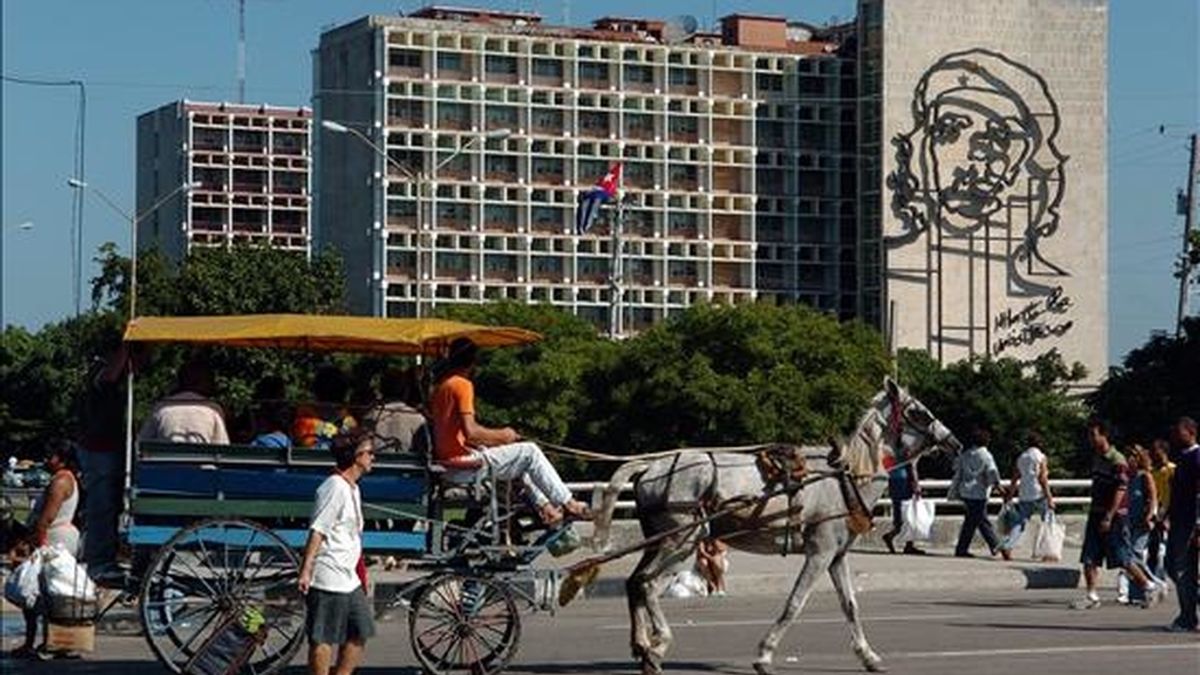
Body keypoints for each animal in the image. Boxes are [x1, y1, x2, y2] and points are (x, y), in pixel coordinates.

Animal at [592, 374, 964, 667]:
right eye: (918, 412)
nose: (955, 441)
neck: (845, 477)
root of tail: (651, 466)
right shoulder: (819, 552)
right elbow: (795, 603)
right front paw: (764, 653)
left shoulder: (837, 556)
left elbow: (850, 605)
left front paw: (868, 655)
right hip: (682, 541)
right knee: (648, 585)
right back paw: (658, 644)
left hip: (660, 542)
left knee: (634, 583)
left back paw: (641, 644)